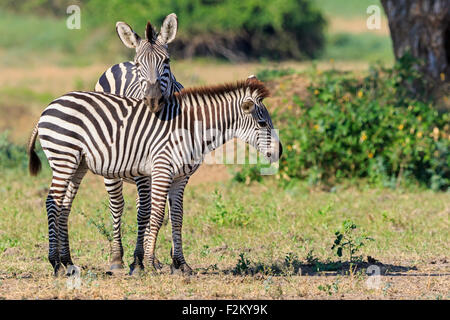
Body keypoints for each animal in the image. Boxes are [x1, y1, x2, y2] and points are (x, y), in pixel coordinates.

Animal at [27, 75, 282, 276]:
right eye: (262, 123)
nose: (279, 152)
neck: (192, 130)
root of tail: (49, 106)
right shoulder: (162, 169)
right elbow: (157, 216)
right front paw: (149, 264)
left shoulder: (180, 178)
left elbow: (177, 217)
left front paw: (181, 265)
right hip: (64, 157)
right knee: (52, 203)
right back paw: (56, 264)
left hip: (77, 165)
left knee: (64, 207)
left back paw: (68, 262)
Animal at [92, 13, 184, 272]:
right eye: (138, 64)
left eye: (167, 61)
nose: (152, 101)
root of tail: (120, 64)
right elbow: (145, 213)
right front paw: (139, 260)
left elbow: (169, 213)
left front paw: (172, 260)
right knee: (118, 205)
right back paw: (117, 258)